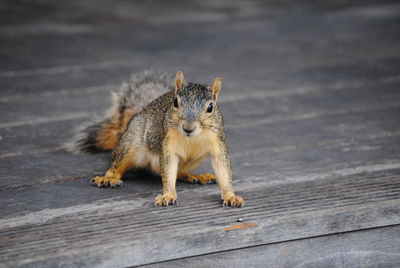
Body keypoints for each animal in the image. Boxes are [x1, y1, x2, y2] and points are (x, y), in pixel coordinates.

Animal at [73, 69, 245, 207]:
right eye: (175, 102)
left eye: (210, 107)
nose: (188, 128)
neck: (191, 138)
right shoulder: (168, 145)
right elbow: (168, 172)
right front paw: (168, 195)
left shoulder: (217, 143)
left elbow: (223, 170)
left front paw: (230, 196)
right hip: (131, 142)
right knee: (117, 165)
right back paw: (108, 178)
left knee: (179, 172)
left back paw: (194, 175)